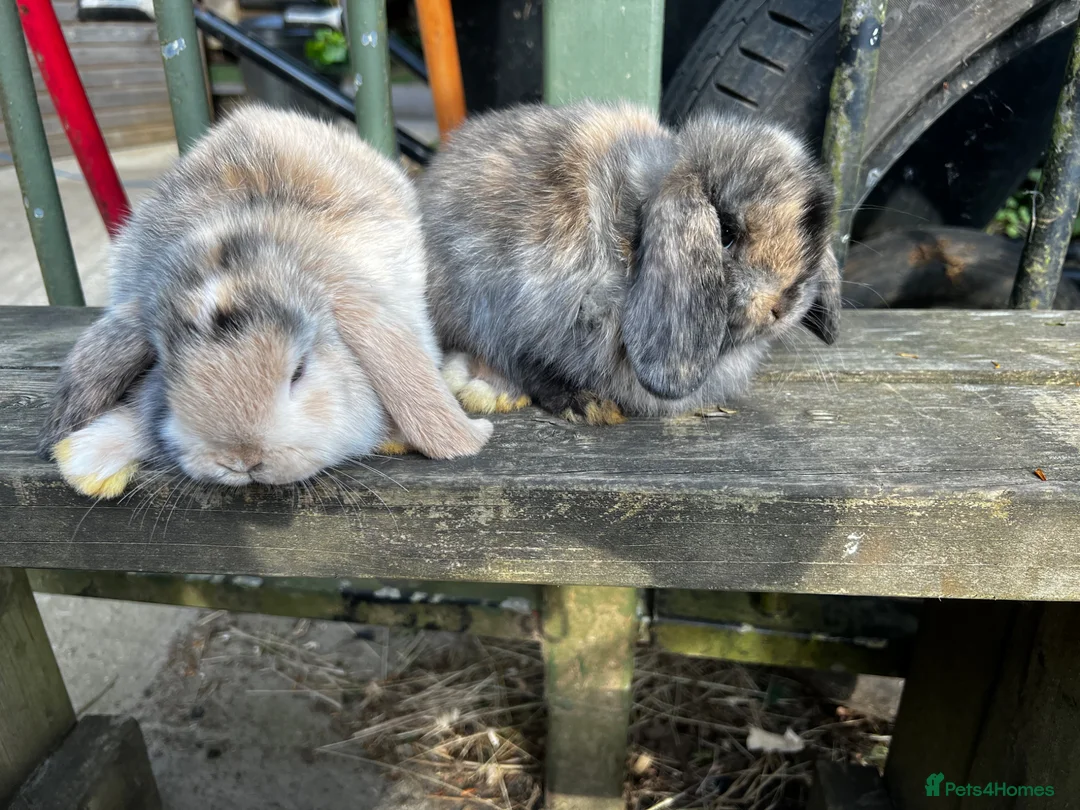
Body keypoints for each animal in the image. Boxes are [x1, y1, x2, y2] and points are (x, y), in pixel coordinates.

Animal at [420, 100, 840, 424]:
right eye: (725, 233)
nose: (782, 305)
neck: (628, 232)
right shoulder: (521, 314)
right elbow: (528, 365)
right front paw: (587, 406)